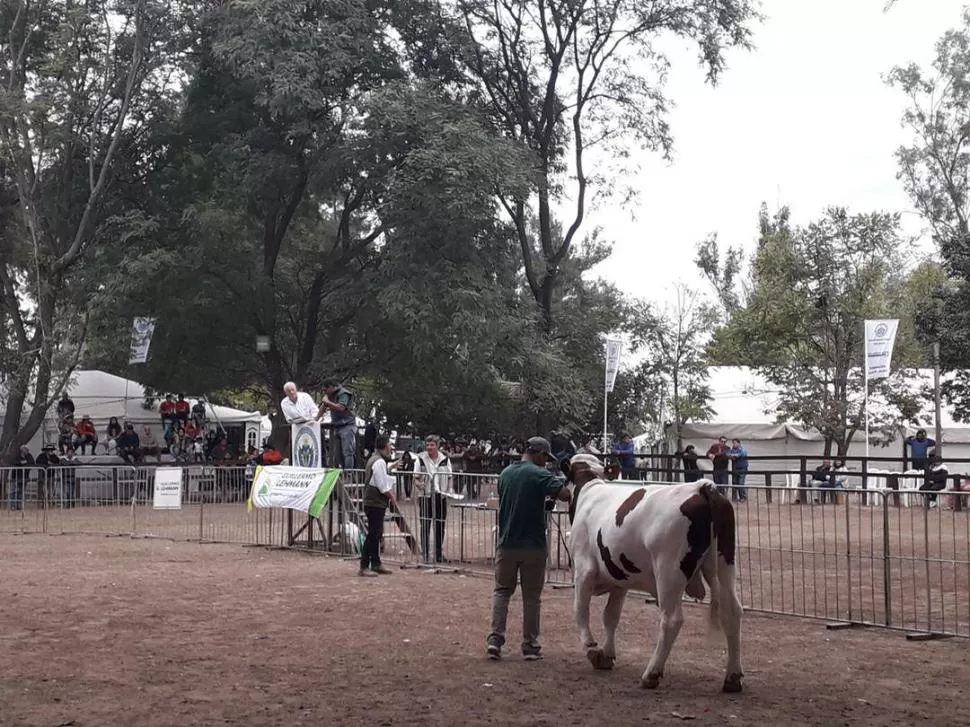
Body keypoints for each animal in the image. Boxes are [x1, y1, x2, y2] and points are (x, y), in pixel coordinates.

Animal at [560, 456, 740, 692]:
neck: (590, 488)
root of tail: (701, 487)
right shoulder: (620, 580)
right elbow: (610, 616)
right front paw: (607, 654)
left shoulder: (584, 571)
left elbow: (580, 611)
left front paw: (592, 650)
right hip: (723, 565)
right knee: (732, 612)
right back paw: (733, 677)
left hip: (668, 571)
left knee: (671, 620)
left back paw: (651, 673)